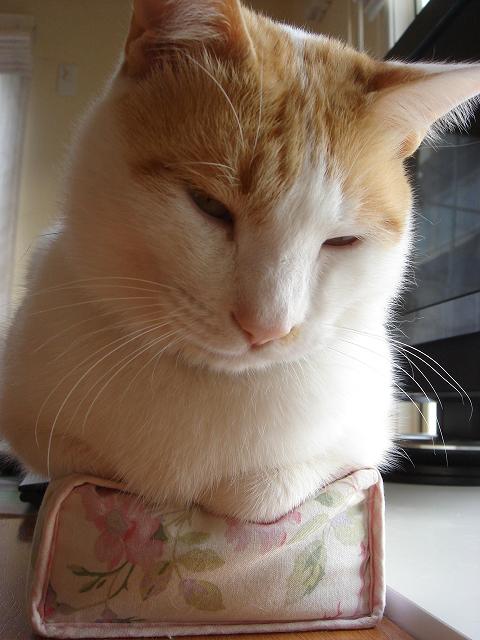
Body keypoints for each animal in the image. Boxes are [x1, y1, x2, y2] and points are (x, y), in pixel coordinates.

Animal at [1, 0, 479, 522]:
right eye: (209, 205)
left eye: (342, 241)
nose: (266, 327)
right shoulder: (28, 414)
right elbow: (78, 460)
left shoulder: (366, 435)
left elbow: (263, 493)